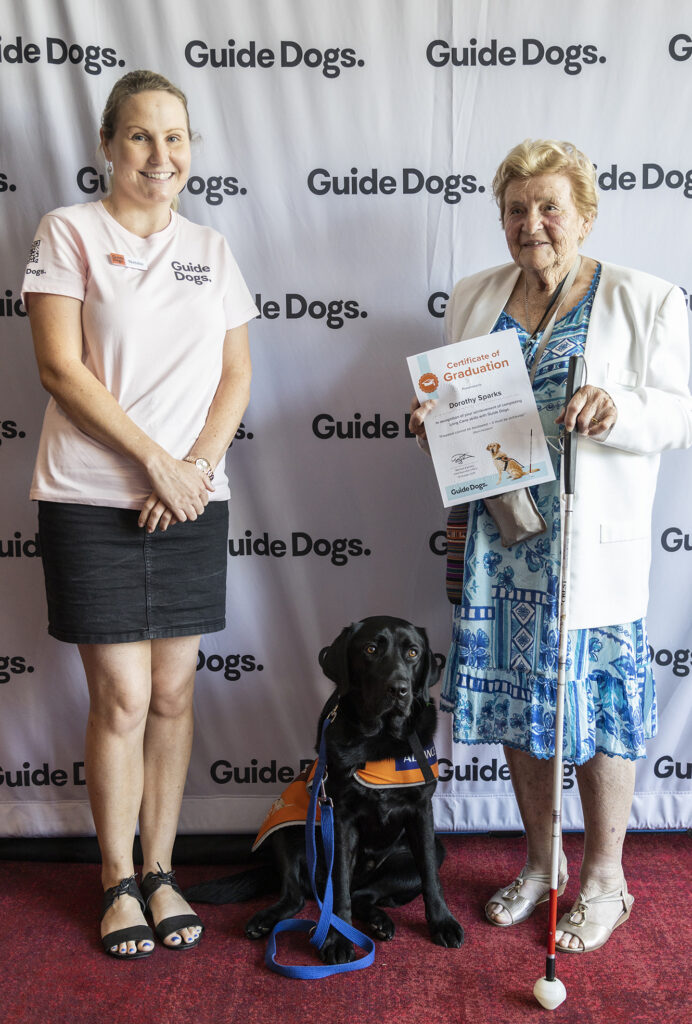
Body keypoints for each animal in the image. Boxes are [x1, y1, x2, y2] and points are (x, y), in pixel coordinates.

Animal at [186, 618, 462, 962]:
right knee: (298, 896)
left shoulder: (421, 811)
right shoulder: (340, 817)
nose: (399, 689)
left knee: (364, 895)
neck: (379, 740)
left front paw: (442, 922)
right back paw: (267, 919)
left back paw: (380, 921)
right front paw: (337, 937)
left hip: (427, 853)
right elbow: (339, 884)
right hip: (285, 829)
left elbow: (431, 879)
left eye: (413, 652)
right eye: (370, 649)